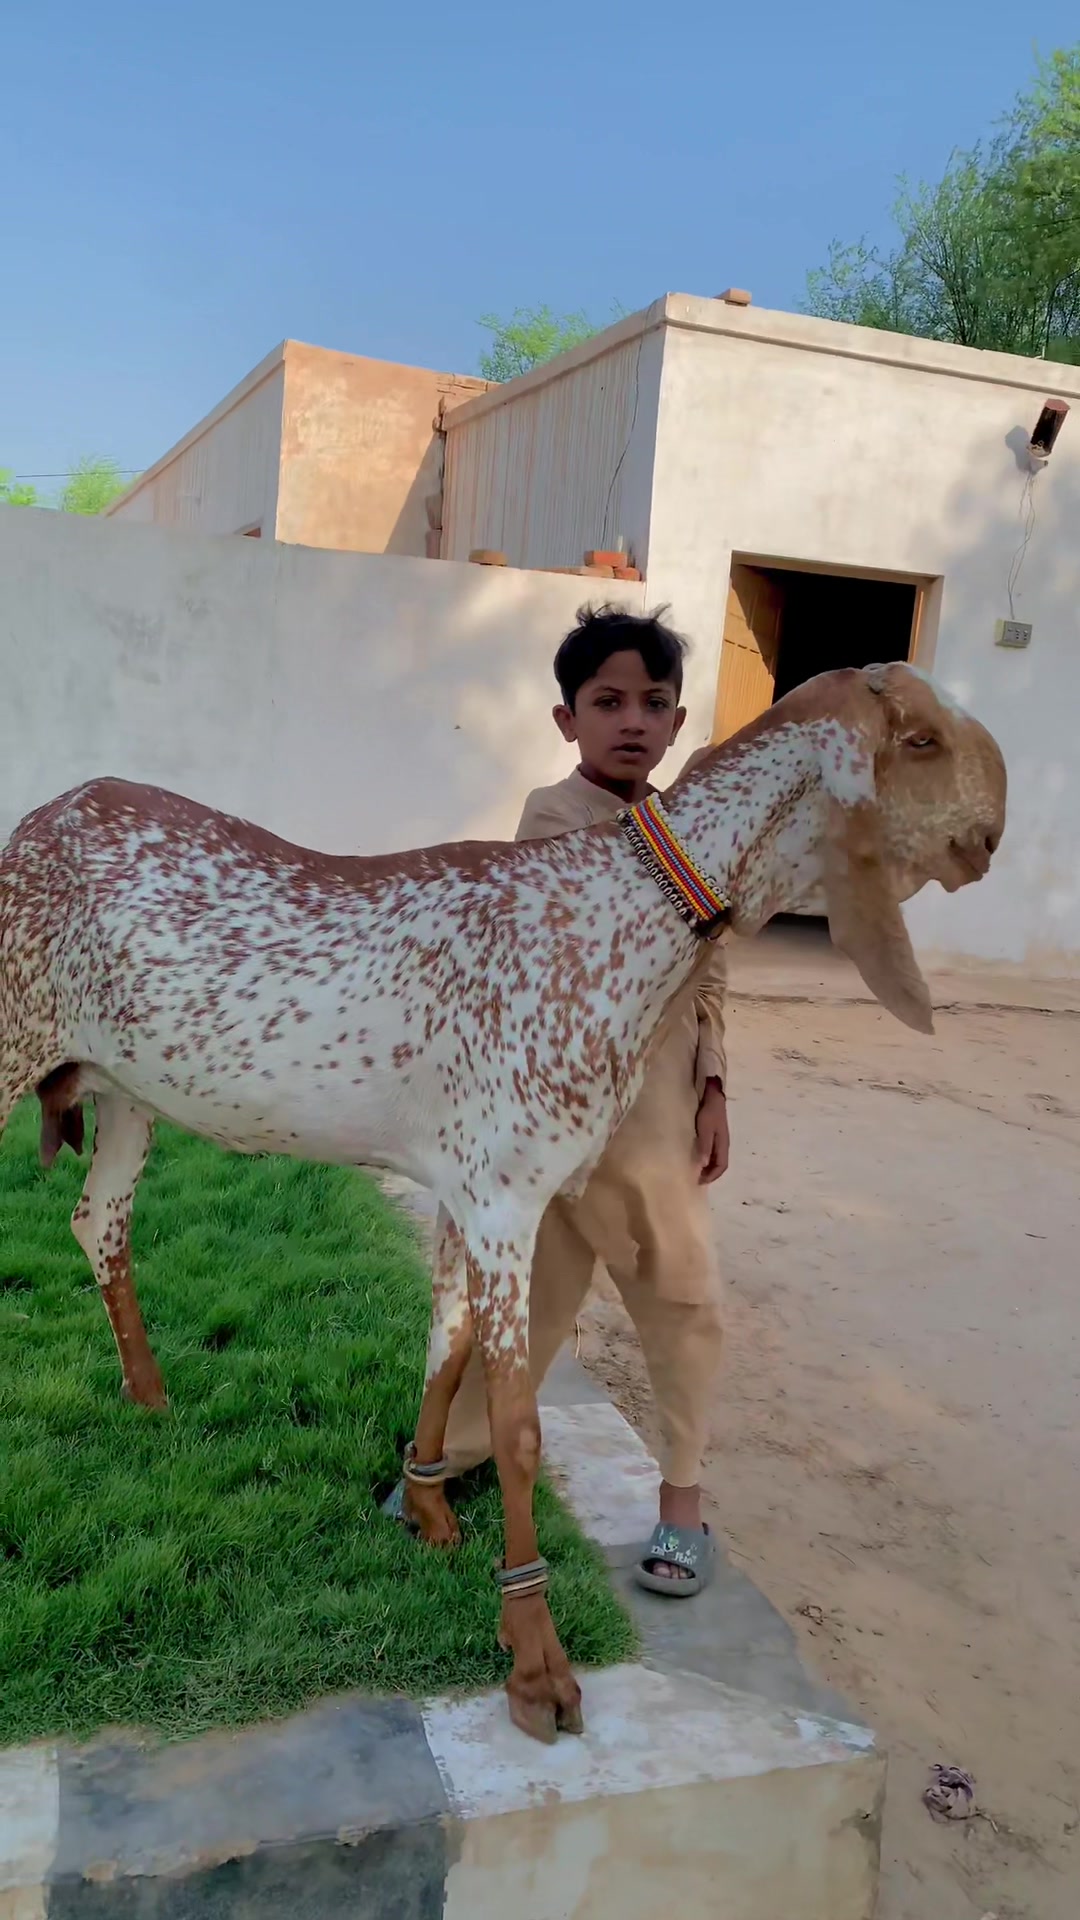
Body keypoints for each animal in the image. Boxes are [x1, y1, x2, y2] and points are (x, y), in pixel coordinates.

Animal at [0, 663, 1006, 1742]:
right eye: (920, 741)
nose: (989, 836)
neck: (616, 918)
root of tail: (38, 822)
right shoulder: (504, 1198)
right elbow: (519, 1428)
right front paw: (535, 1660)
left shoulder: (462, 1190)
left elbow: (445, 1349)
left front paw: (426, 1504)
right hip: (13, 1045)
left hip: (122, 1091)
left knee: (98, 1222)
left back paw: (150, 1399)